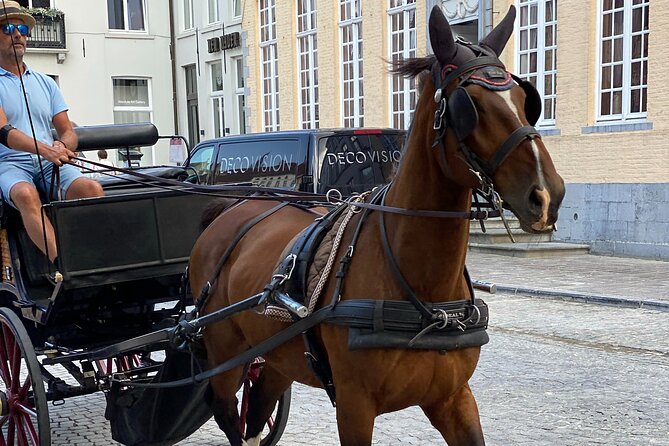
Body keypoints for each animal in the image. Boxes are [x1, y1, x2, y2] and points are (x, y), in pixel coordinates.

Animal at [188, 6, 564, 446]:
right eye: (468, 104)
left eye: (526, 99)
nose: (547, 195)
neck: (422, 291)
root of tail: (229, 211)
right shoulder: (354, 407)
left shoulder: (453, 398)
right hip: (226, 354)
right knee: (227, 412)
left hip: (278, 358)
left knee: (258, 408)